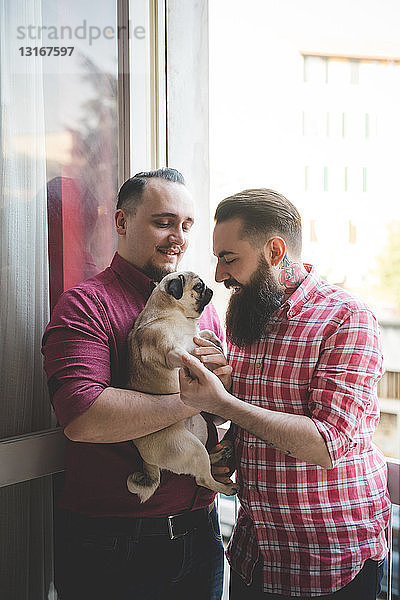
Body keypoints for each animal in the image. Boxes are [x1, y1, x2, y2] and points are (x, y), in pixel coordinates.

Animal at [126, 272, 238, 502]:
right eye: (198, 287)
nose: (210, 288)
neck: (176, 314)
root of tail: (147, 460)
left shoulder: (193, 336)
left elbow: (204, 333)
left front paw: (215, 341)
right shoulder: (172, 351)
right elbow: (190, 354)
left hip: (200, 432)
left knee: (206, 460)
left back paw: (219, 454)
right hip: (190, 447)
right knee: (202, 478)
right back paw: (225, 487)